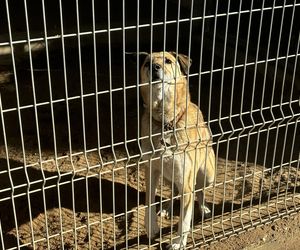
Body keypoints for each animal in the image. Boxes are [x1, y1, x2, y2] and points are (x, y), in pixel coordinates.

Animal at [139, 51, 214, 248]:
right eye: (147, 63)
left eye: (168, 61)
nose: (154, 67)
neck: (165, 123)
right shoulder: (151, 170)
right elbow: (149, 201)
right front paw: (151, 226)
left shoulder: (187, 182)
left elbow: (184, 220)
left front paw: (179, 242)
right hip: (168, 176)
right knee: (173, 192)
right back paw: (166, 209)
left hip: (207, 175)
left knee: (199, 191)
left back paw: (204, 208)